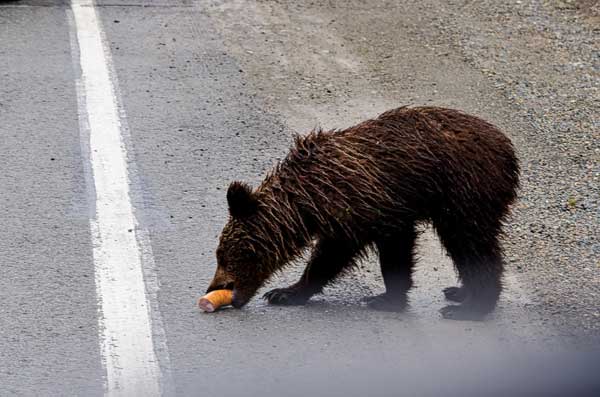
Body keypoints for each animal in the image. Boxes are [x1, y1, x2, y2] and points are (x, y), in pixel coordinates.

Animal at [206, 105, 520, 318]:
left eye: (226, 255)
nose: (215, 287)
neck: (306, 200)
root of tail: (508, 148)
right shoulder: (345, 218)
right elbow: (330, 257)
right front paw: (286, 292)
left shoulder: (373, 204)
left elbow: (389, 250)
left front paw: (387, 298)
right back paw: (459, 291)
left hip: (464, 191)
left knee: (471, 243)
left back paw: (473, 306)